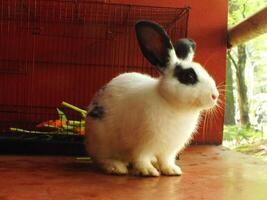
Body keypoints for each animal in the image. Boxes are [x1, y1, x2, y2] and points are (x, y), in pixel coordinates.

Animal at [86, 20, 220, 177]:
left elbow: (166, 160)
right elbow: (141, 157)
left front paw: (172, 170)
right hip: (102, 140)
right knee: (101, 158)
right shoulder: (142, 144)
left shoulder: (169, 149)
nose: (215, 95)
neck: (173, 105)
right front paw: (148, 171)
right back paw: (116, 167)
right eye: (189, 77)